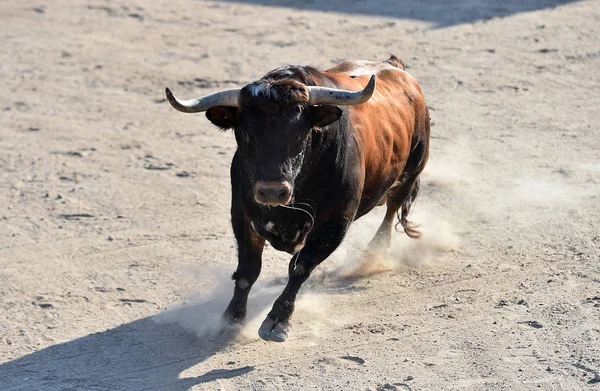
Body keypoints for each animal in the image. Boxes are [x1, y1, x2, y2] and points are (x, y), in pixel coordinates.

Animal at [166, 55, 428, 344]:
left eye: (301, 133)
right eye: (245, 133)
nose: (272, 191)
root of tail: (396, 68)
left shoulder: (335, 222)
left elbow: (300, 266)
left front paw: (277, 320)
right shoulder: (242, 215)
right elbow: (248, 269)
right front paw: (230, 320)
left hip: (412, 169)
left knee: (392, 208)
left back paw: (374, 252)